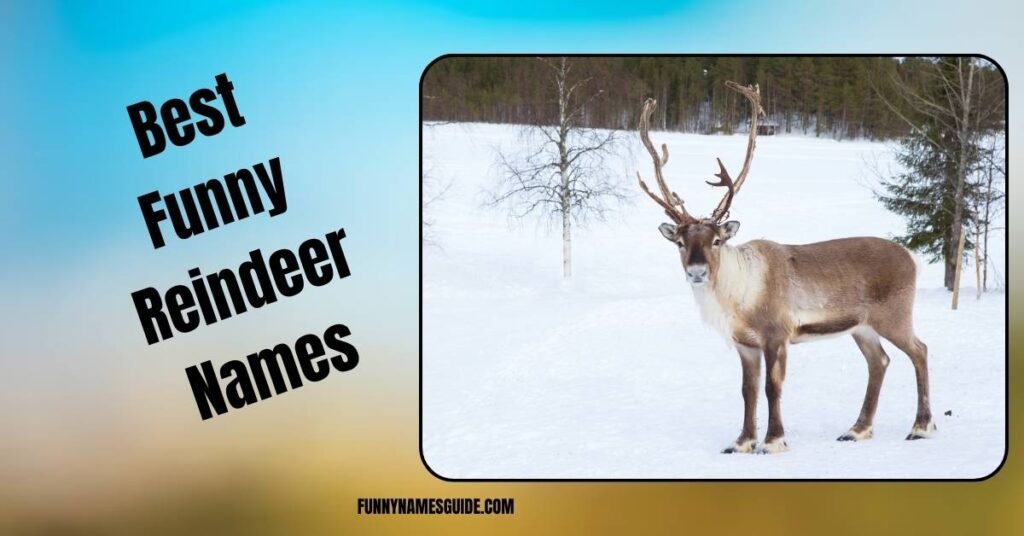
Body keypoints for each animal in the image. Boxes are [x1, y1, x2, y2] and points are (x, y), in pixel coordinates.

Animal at [637, 82, 934, 454]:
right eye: (679, 242)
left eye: (716, 240)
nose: (696, 272)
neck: (738, 298)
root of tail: (912, 258)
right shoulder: (745, 343)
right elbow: (747, 390)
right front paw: (741, 442)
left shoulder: (777, 334)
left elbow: (771, 388)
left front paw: (773, 440)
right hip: (861, 327)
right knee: (879, 361)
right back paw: (857, 429)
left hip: (894, 316)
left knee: (920, 351)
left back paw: (921, 427)